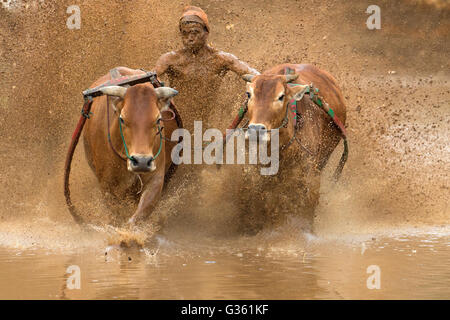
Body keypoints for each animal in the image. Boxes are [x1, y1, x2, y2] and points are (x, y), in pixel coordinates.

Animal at [81, 67, 180, 228]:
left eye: (158, 119)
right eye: (122, 119)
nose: (141, 161)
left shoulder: (156, 178)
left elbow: (140, 214)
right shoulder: (107, 186)